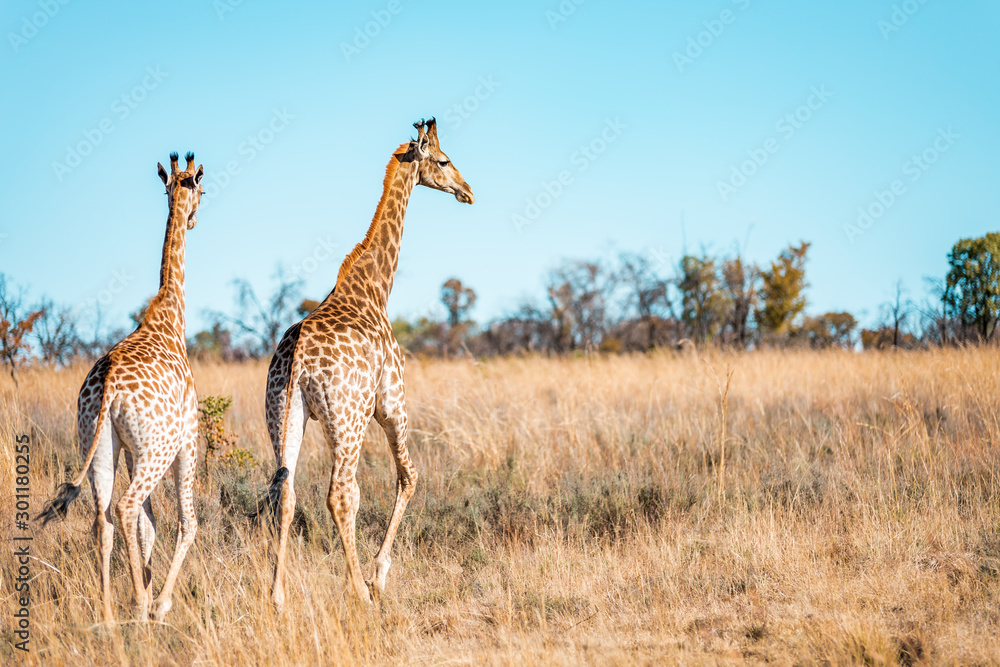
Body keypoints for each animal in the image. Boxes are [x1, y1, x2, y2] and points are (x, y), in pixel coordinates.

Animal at [38, 152, 205, 624]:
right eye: (203, 190)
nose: (192, 219)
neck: (169, 315)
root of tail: (109, 386)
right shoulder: (188, 437)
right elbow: (186, 522)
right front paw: (159, 603)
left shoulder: (131, 449)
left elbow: (151, 526)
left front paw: (146, 592)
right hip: (158, 449)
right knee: (128, 509)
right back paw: (140, 604)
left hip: (99, 444)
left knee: (104, 518)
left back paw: (112, 613)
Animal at [265, 118, 474, 608]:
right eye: (444, 161)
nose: (468, 190)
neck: (375, 287)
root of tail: (298, 359)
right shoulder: (391, 402)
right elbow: (409, 475)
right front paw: (380, 574)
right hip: (348, 419)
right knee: (342, 493)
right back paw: (359, 590)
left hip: (284, 414)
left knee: (285, 491)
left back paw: (278, 595)